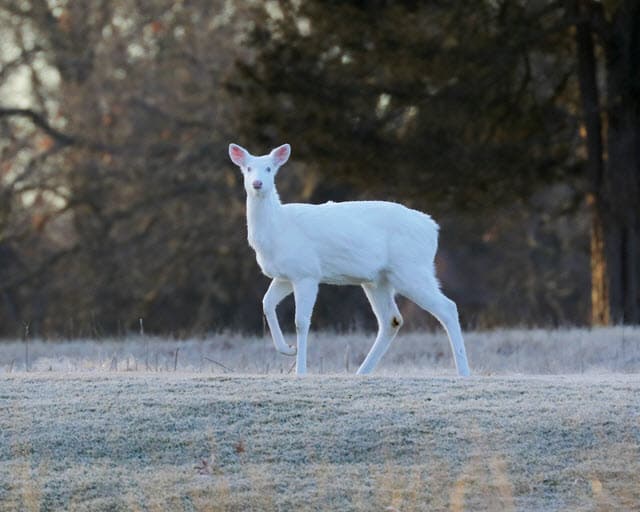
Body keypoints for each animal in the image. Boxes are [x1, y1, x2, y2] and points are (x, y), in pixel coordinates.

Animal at [229, 143, 470, 376]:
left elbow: (301, 322)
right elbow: (267, 303)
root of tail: (432, 228)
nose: (257, 183)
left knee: (448, 307)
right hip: (379, 279)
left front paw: (300, 370)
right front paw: (287, 349)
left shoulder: (307, 272)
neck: (277, 229)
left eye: (270, 168)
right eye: (248, 168)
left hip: (411, 269)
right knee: (392, 320)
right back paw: (361, 372)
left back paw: (463, 371)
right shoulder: (286, 275)